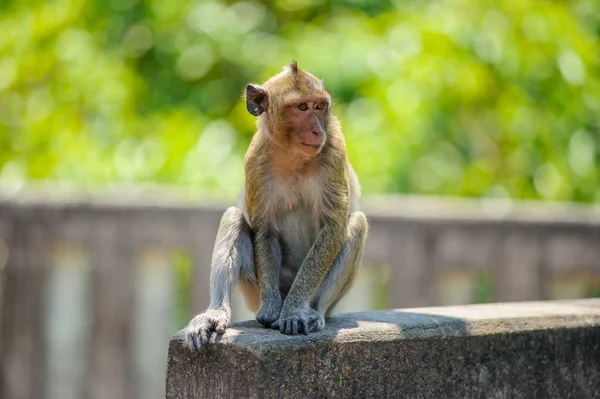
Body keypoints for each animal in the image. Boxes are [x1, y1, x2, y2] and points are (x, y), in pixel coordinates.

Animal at [185, 61, 368, 352]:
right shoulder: (255, 160)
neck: (293, 156)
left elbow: (333, 229)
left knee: (357, 224)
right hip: (253, 288)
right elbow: (264, 231)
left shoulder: (334, 150)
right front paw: (272, 309)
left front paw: (292, 311)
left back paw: (313, 312)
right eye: (302, 107)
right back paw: (215, 313)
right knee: (233, 217)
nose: (317, 130)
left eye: (319, 106)